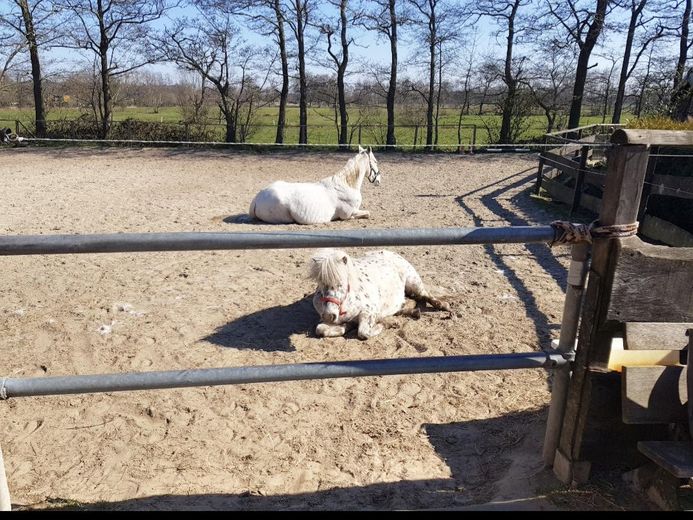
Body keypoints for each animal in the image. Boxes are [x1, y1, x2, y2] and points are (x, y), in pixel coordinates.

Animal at [249, 145, 382, 224]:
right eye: (375, 161)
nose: (379, 180)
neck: (346, 186)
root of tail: (257, 199)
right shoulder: (349, 213)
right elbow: (366, 213)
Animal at [308, 248, 451, 340]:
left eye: (341, 283)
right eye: (320, 284)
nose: (329, 315)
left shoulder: (369, 311)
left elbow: (363, 332)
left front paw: (380, 326)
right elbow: (320, 329)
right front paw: (346, 325)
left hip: (413, 282)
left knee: (425, 295)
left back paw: (443, 306)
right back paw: (412, 312)